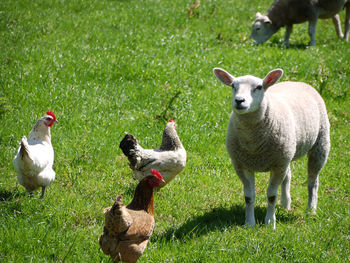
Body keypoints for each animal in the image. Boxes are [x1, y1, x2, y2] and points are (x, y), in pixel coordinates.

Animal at [213, 67, 330, 229]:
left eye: (259, 87)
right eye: (233, 86)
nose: (239, 101)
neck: (253, 144)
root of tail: (296, 82)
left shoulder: (277, 164)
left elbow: (271, 196)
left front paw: (269, 222)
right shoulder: (242, 165)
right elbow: (249, 197)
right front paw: (249, 223)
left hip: (320, 144)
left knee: (313, 181)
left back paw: (311, 209)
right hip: (286, 153)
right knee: (288, 175)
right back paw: (286, 204)